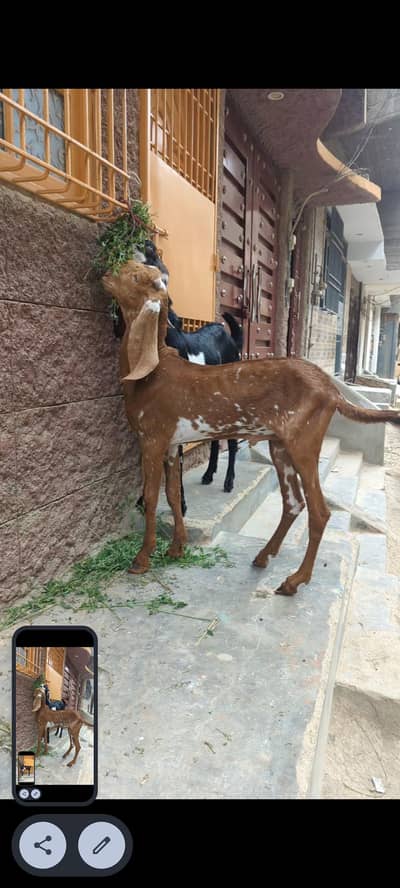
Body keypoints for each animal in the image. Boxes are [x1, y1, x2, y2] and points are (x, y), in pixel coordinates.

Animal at [103, 260, 400, 596]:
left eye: (136, 276)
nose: (107, 274)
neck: (153, 371)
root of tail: (332, 389)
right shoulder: (171, 443)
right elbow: (173, 495)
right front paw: (176, 548)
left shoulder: (151, 439)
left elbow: (151, 498)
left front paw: (141, 560)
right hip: (280, 445)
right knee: (293, 503)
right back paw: (264, 556)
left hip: (304, 443)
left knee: (319, 511)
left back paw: (294, 580)